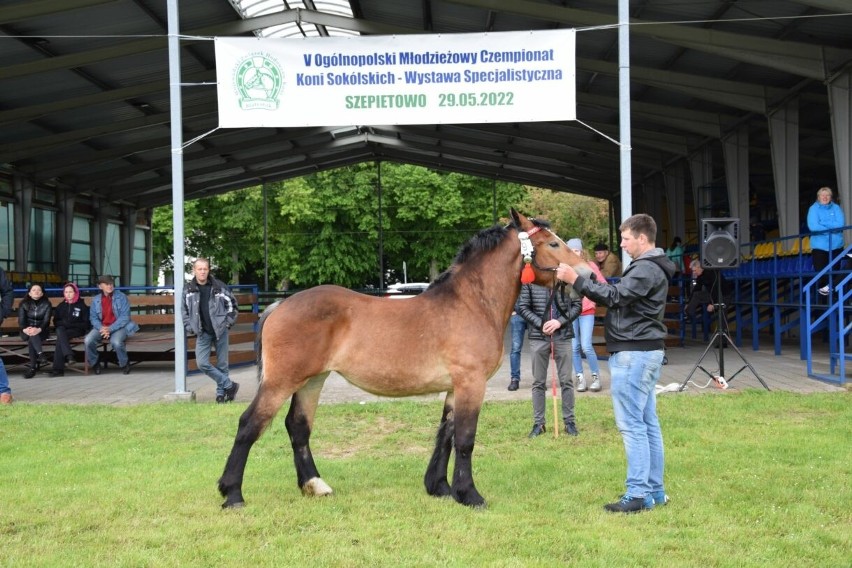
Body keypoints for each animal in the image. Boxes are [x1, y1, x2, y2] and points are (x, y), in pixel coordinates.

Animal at [220, 206, 588, 508]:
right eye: (553, 244)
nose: (586, 273)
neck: (471, 303)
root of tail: (280, 305)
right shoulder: (471, 383)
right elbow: (465, 439)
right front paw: (470, 495)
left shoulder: (455, 387)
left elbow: (446, 436)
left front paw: (440, 488)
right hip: (282, 381)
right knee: (249, 425)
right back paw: (232, 494)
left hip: (312, 381)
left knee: (298, 427)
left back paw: (315, 485)